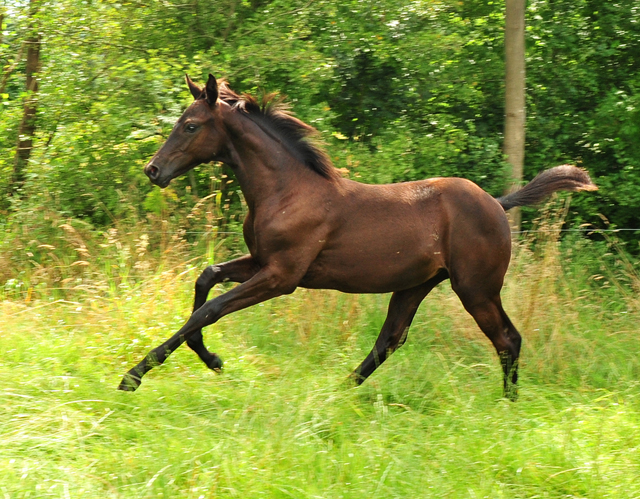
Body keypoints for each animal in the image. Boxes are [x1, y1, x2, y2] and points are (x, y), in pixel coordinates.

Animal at [117, 75, 596, 402]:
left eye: (191, 125)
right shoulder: (261, 261)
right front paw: (211, 359)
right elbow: (206, 277)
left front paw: (135, 374)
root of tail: (498, 203)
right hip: (415, 285)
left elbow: (210, 308)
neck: (287, 190)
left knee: (507, 339)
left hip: (476, 288)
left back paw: (507, 405)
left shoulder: (282, 276)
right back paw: (339, 393)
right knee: (390, 340)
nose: (153, 170)